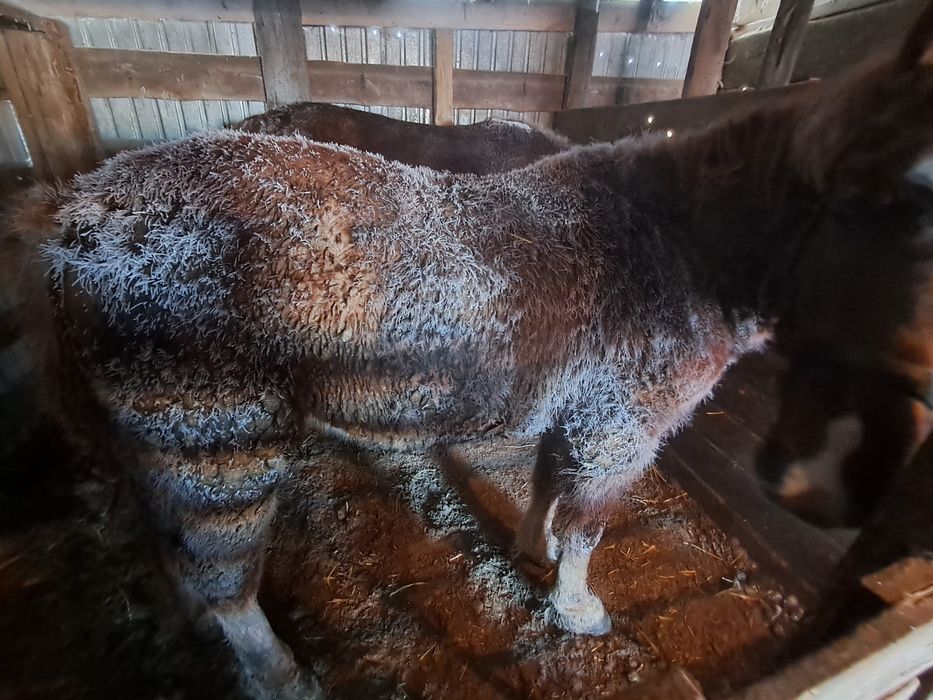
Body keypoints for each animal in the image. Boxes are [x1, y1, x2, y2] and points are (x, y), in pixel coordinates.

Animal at [15, 4, 933, 696]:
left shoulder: (576, 409)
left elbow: (547, 486)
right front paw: (577, 608)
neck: (678, 247)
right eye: (912, 197)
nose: (835, 477)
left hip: (160, 442)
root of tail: (78, 216)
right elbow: (589, 525)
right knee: (223, 576)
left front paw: (532, 552)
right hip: (215, 442)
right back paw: (276, 672)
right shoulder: (620, 426)